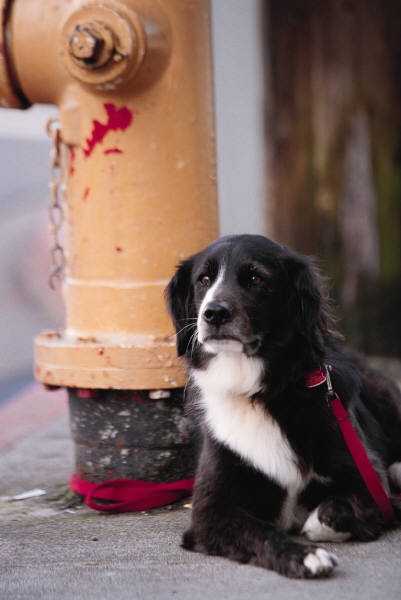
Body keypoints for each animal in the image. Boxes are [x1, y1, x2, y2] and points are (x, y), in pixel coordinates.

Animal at [166, 236, 400, 580]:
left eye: (255, 278)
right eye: (204, 280)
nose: (214, 313)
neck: (258, 391)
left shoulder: (369, 481)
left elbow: (335, 512)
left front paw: (315, 524)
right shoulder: (211, 512)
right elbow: (261, 533)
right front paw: (306, 556)